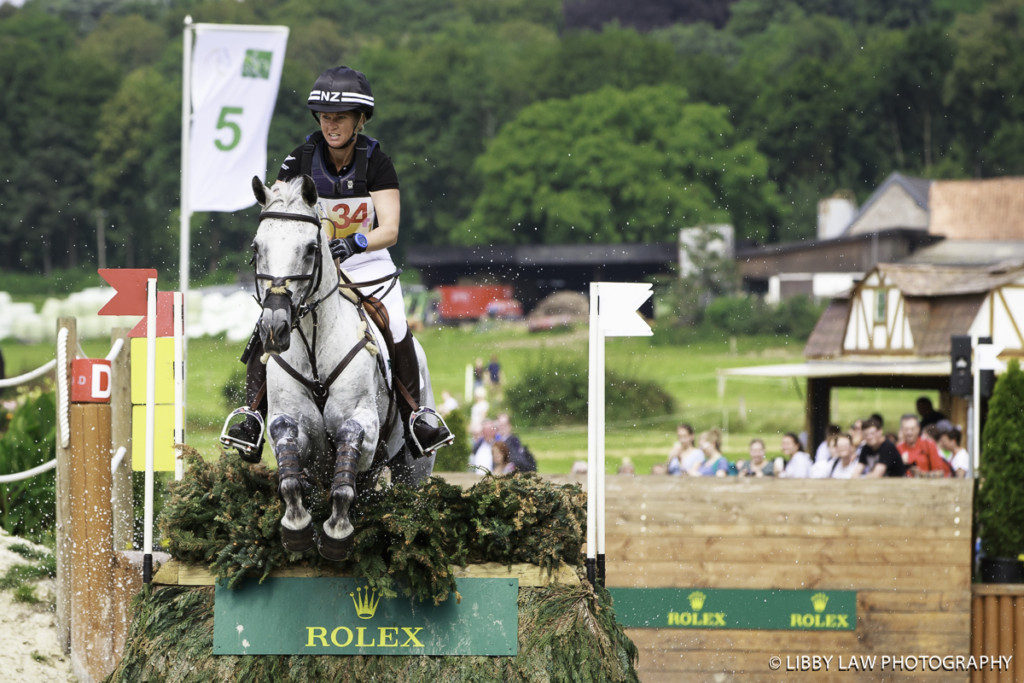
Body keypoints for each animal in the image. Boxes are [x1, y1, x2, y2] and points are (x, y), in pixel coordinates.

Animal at [253, 175, 438, 561]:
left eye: (311, 249)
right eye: (256, 247)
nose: (274, 328)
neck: (314, 344)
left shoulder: (362, 422)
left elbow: (348, 449)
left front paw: (337, 533)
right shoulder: (288, 422)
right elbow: (289, 471)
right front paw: (297, 528)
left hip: (412, 469)